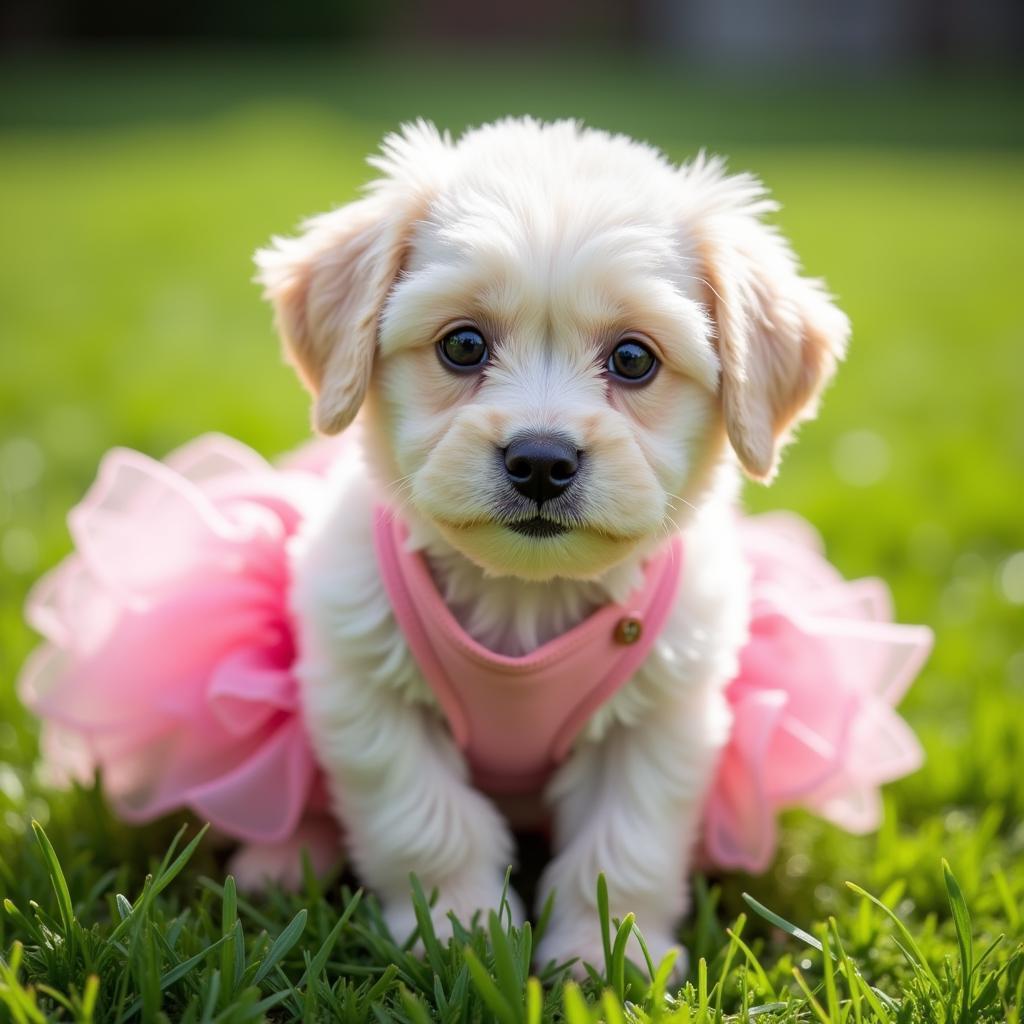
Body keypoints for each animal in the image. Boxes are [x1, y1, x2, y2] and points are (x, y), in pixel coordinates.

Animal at [253, 116, 847, 970]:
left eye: (633, 358)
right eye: (463, 346)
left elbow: (621, 847)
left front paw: (607, 955)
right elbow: (429, 821)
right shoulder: (365, 692)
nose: (540, 460)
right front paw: (462, 932)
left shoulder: (659, 721)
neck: (523, 592)